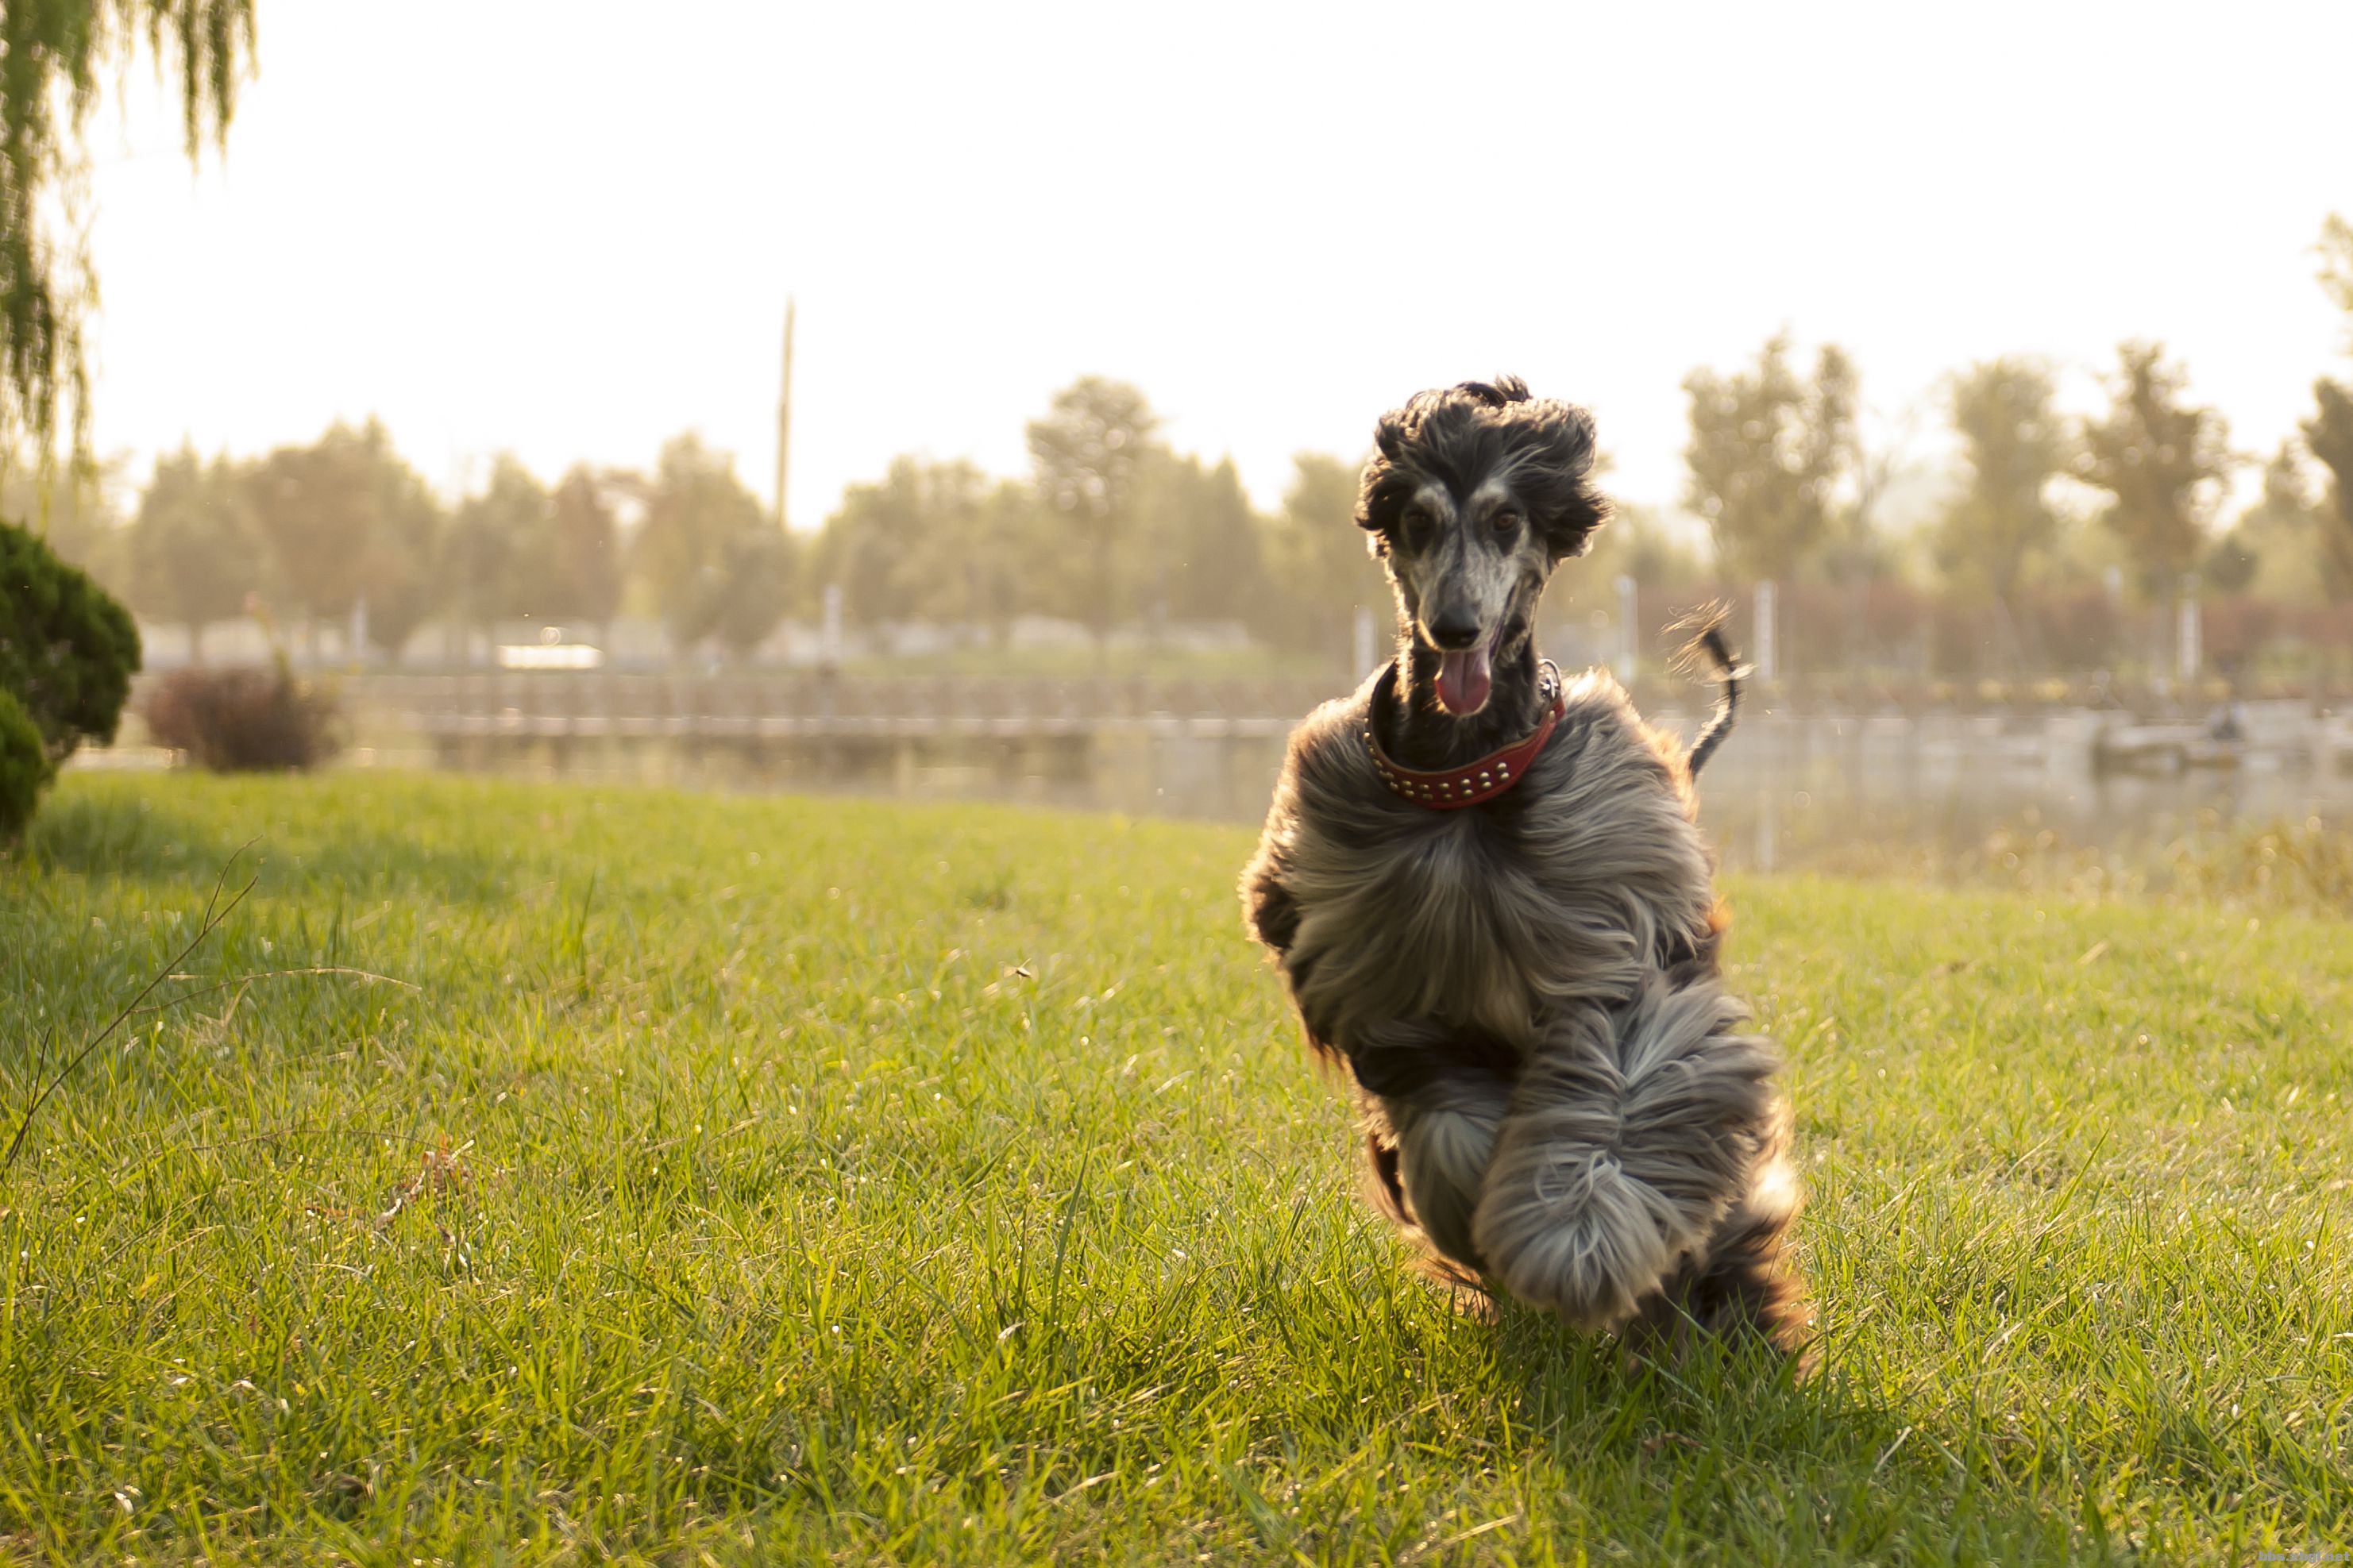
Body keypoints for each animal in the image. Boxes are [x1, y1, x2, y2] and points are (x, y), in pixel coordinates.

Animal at [1242, 373, 1807, 1354]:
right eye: (1417, 520)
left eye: (1506, 519)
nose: (1455, 628)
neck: (1465, 783)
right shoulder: (1397, 1000)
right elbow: (1445, 1130)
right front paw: (1478, 1228)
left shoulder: (1611, 942)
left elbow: (1619, 1092)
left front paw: (1574, 1240)